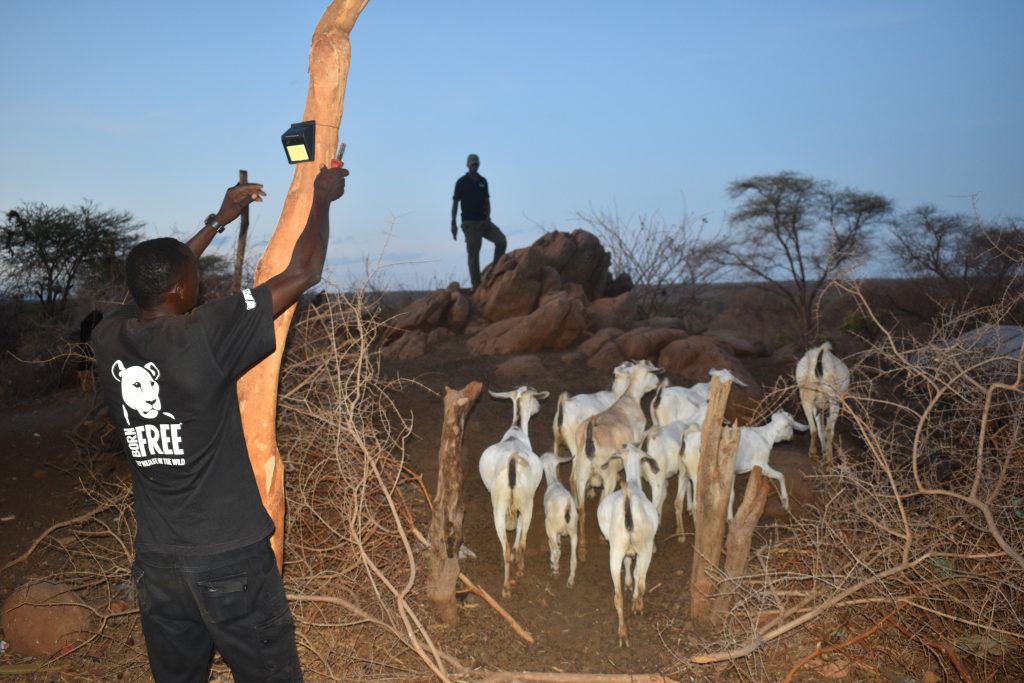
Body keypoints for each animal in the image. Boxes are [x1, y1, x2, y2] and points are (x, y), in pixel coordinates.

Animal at [475, 387, 548, 593]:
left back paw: (506, 586)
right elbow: (519, 530)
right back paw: (520, 569)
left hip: (499, 508)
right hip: (527, 503)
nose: (539, 407)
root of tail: (513, 461)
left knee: (505, 548)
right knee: (522, 541)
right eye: (535, 396)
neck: (516, 431)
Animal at [536, 454, 577, 589]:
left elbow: (554, 546)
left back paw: (555, 568)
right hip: (574, 533)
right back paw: (570, 581)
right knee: (573, 559)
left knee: (557, 550)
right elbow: (559, 543)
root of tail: (567, 508)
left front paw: (552, 562)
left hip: (550, 527)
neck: (554, 482)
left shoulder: (553, 531)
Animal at [573, 360, 659, 557]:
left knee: (581, 510)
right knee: (599, 504)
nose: (658, 382)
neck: (630, 397)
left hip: (581, 475)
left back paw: (582, 548)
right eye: (651, 370)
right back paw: (601, 538)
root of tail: (590, 440)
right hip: (608, 477)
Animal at [598, 444, 659, 647]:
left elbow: (629, 566)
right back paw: (637, 607)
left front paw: (627, 584)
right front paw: (631, 590)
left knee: (618, 597)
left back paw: (623, 634)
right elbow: (636, 572)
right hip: (644, 546)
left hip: (616, 550)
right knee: (642, 584)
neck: (633, 483)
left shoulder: (627, 551)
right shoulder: (638, 550)